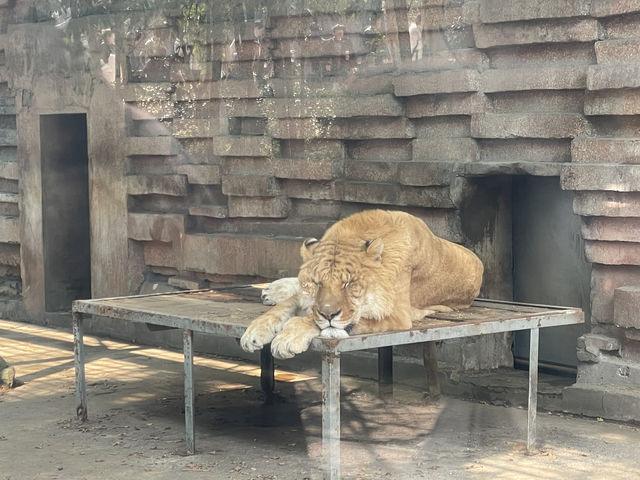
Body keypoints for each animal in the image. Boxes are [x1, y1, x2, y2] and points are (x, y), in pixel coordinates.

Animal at [239, 210, 480, 360]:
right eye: (317, 284)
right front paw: (254, 332)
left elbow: (311, 319)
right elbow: (284, 307)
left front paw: (287, 338)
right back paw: (272, 291)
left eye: (349, 283)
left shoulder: (399, 315)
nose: (329, 314)